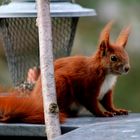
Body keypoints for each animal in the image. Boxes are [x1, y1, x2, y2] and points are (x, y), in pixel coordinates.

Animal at [0, 20, 130, 123]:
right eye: (113, 58)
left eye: (126, 54)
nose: (127, 68)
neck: (107, 75)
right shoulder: (88, 84)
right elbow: (91, 103)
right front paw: (102, 113)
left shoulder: (107, 90)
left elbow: (108, 103)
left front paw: (117, 110)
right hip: (60, 84)